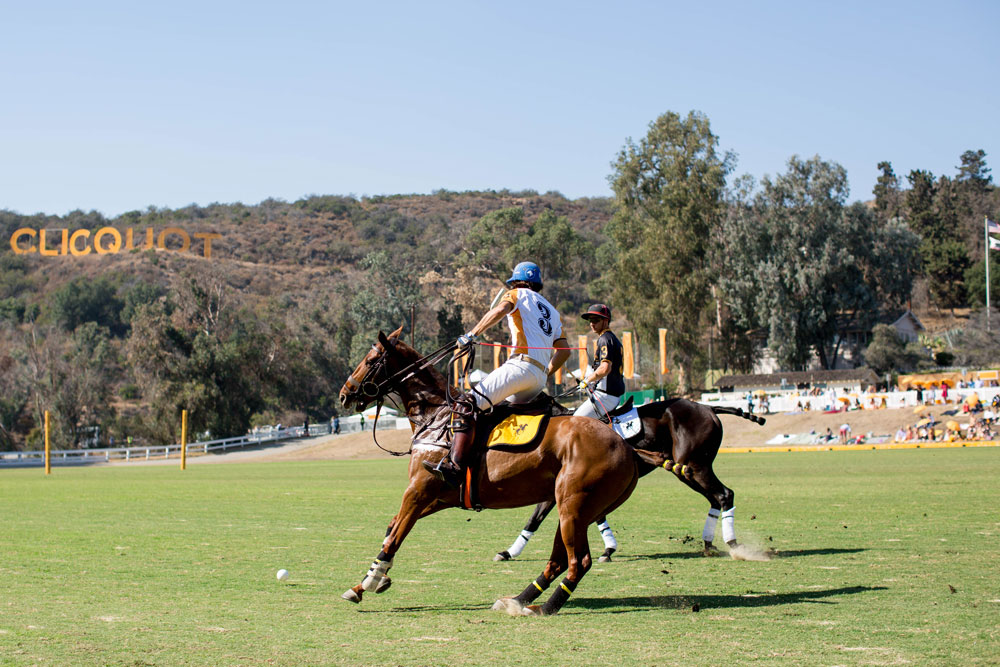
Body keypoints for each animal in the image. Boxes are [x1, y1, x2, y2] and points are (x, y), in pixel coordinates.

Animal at [338, 328, 640, 616]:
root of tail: (627, 449)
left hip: (573, 506)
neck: (434, 417)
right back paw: (519, 599)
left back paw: (544, 607)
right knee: (559, 560)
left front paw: (368, 582)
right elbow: (393, 527)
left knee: (578, 561)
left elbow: (395, 536)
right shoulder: (439, 496)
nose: (344, 393)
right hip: (574, 509)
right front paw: (375, 579)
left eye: (370, 360)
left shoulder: (419, 490)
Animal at [494, 400, 764, 560]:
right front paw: (508, 552)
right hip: (689, 470)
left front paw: (607, 550)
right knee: (716, 498)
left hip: (696, 467)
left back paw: (733, 544)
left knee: (725, 494)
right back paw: (709, 543)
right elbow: (535, 519)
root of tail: (708, 407)